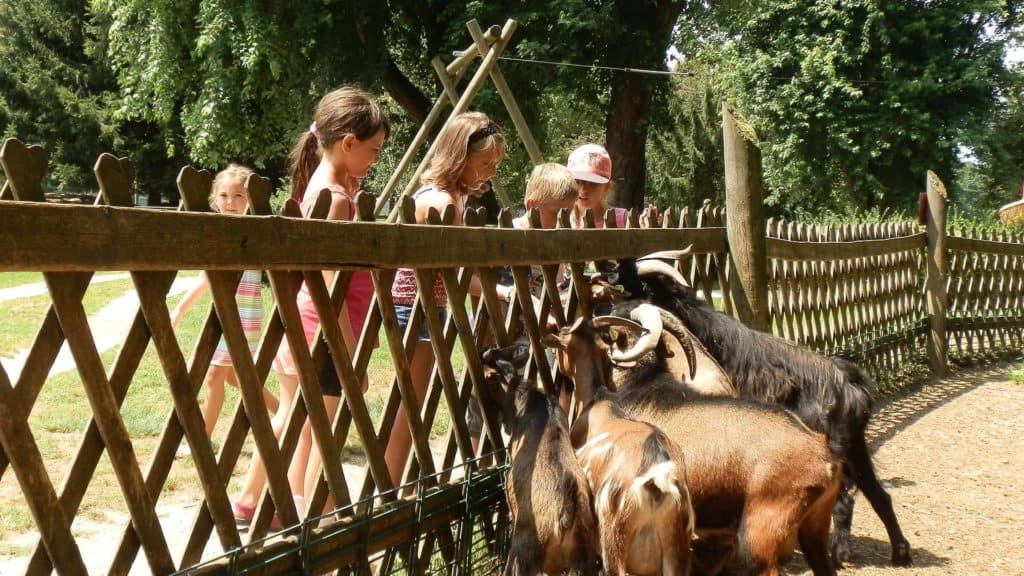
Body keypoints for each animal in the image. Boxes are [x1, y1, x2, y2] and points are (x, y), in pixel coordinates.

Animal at [618, 256, 917, 565]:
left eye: (628, 289)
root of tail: (848, 383)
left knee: (844, 500)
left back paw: (839, 553)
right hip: (855, 448)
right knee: (878, 495)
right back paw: (899, 552)